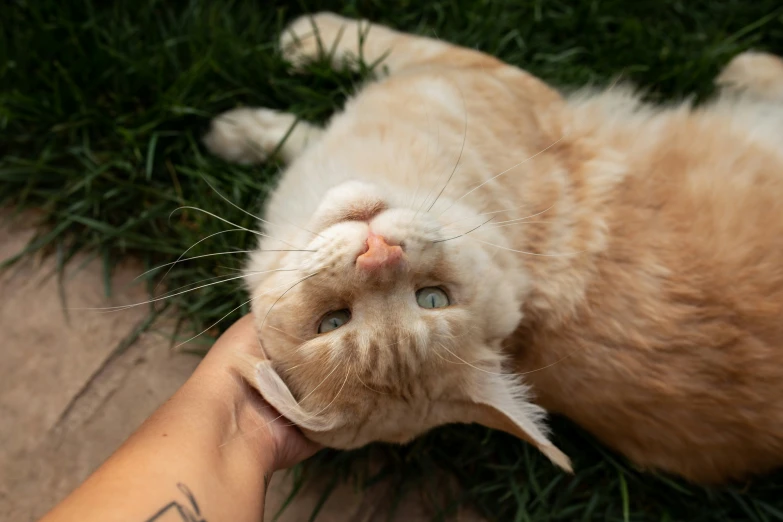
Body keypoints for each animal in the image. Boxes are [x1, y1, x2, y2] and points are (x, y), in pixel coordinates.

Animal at [202, 13, 783, 484]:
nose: (377, 252)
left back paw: (744, 67)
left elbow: (392, 44)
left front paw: (305, 43)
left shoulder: (482, 75)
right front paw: (249, 133)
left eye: (432, 298)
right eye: (333, 321)